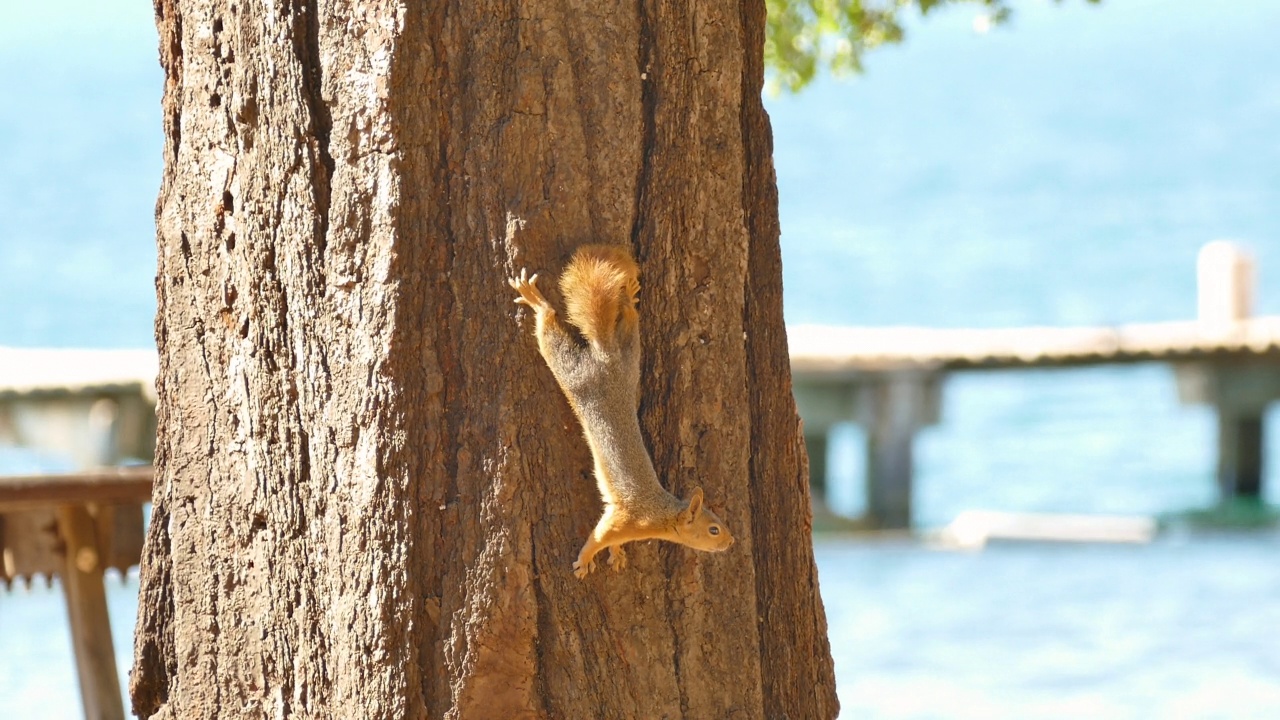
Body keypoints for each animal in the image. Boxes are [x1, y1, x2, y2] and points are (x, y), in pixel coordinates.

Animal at [506, 243, 737, 573]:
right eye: (714, 529)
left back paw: (629, 296)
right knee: (549, 327)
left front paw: (617, 555)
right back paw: (537, 301)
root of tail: (607, 357)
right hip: (575, 374)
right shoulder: (622, 519)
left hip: (630, 356)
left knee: (628, 320)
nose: (731, 542)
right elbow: (598, 537)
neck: (660, 514)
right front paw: (584, 561)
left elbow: (612, 543)